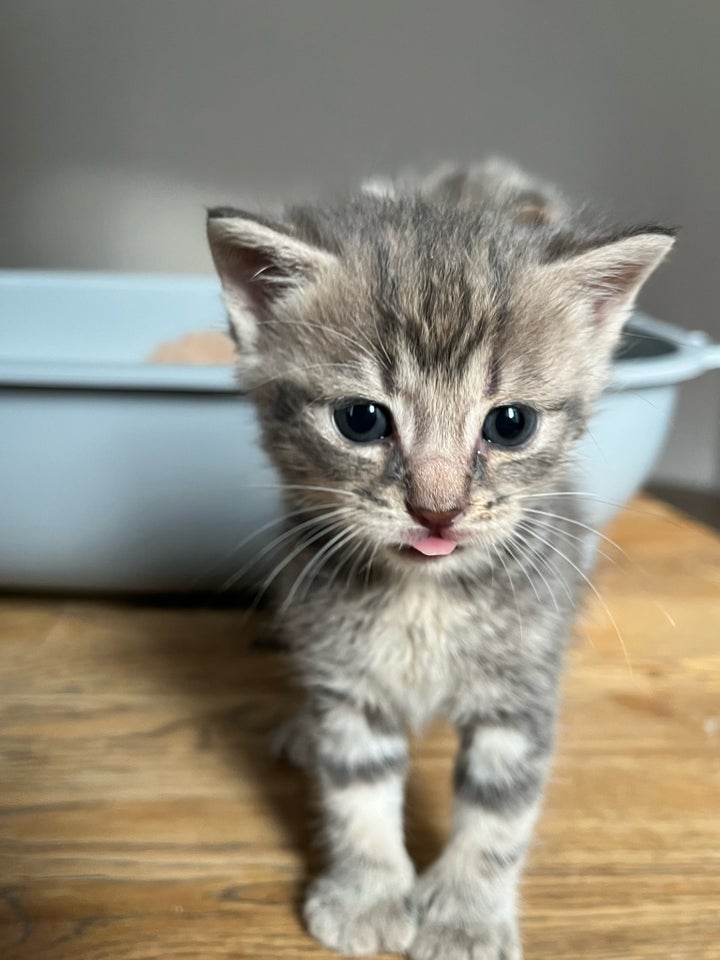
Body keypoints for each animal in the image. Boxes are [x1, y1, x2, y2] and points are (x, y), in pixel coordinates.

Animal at [207, 161, 676, 956]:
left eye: (510, 424)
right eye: (360, 420)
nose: (437, 509)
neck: (424, 594)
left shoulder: (521, 686)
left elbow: (499, 812)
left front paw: (464, 914)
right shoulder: (347, 675)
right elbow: (357, 787)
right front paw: (369, 895)